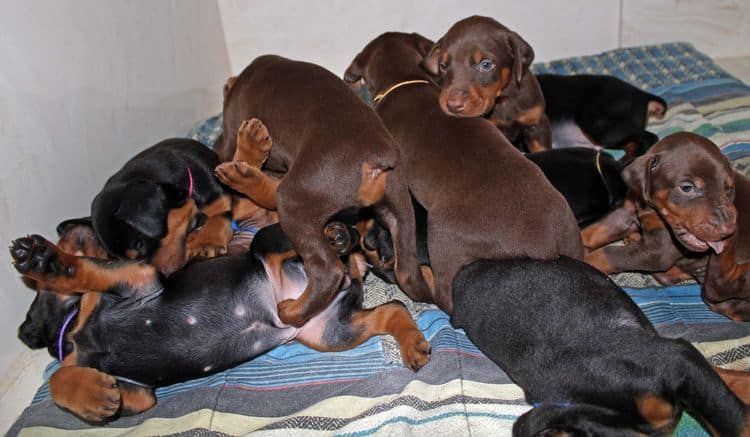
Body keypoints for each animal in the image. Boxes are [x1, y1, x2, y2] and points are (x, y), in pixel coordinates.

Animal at [580, 131, 750, 318]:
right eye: (687, 187)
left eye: (728, 189)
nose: (729, 229)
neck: (652, 208)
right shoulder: (627, 212)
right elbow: (593, 231)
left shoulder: (658, 251)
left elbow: (608, 254)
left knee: (718, 288)